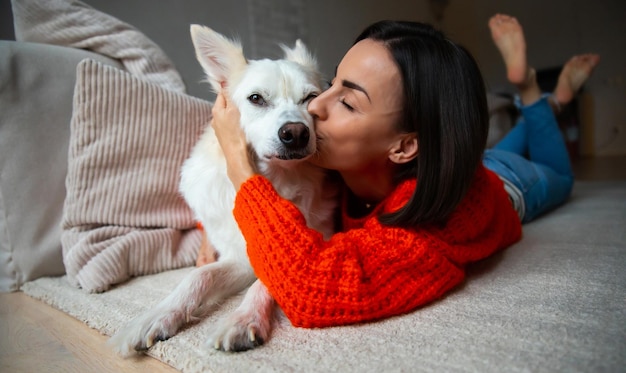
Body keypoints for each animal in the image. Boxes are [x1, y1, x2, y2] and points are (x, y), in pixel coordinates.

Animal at [112, 24, 336, 354]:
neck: (276, 179)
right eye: (256, 98)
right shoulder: (238, 256)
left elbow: (265, 281)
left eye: (311, 98)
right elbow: (199, 275)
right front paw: (158, 315)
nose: (296, 133)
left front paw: (243, 319)